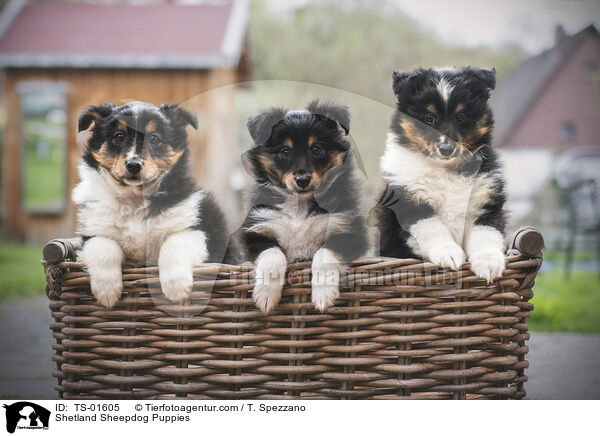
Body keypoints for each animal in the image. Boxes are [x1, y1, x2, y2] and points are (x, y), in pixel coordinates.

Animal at [73, 102, 237, 306]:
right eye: (119, 136)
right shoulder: (93, 232)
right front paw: (107, 293)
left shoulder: (197, 231)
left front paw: (176, 288)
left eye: (154, 138)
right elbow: (104, 247)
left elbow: (173, 245)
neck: (135, 198)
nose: (134, 165)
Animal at [241, 101, 368, 314]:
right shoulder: (256, 231)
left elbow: (323, 254)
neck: (299, 205)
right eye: (285, 151)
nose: (302, 180)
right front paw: (266, 297)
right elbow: (272, 254)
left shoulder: (349, 232)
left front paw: (323, 295)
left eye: (316, 149)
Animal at [376, 66, 506, 282]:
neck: (447, 169)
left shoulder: (486, 203)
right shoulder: (410, 202)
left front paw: (489, 264)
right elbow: (433, 229)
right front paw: (449, 254)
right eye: (429, 118)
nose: (446, 149)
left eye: (460, 116)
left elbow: (486, 234)